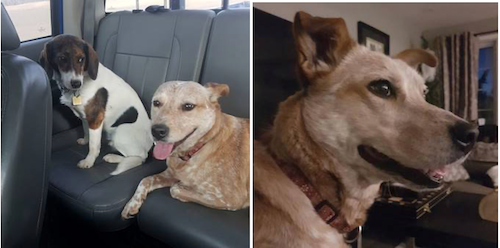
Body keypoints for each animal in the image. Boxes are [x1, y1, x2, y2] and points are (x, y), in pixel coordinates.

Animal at [41, 34, 152, 174]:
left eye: (81, 59)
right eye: (61, 58)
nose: (76, 83)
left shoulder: (95, 119)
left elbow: (94, 146)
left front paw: (88, 161)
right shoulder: (85, 118)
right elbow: (86, 132)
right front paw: (85, 140)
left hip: (121, 132)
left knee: (140, 158)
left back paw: (112, 157)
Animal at [121, 80, 250, 218]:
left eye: (188, 106)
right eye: (156, 103)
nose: (156, 131)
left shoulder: (229, 198)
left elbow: (175, 189)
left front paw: (184, 186)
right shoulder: (170, 173)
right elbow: (145, 180)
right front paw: (132, 204)